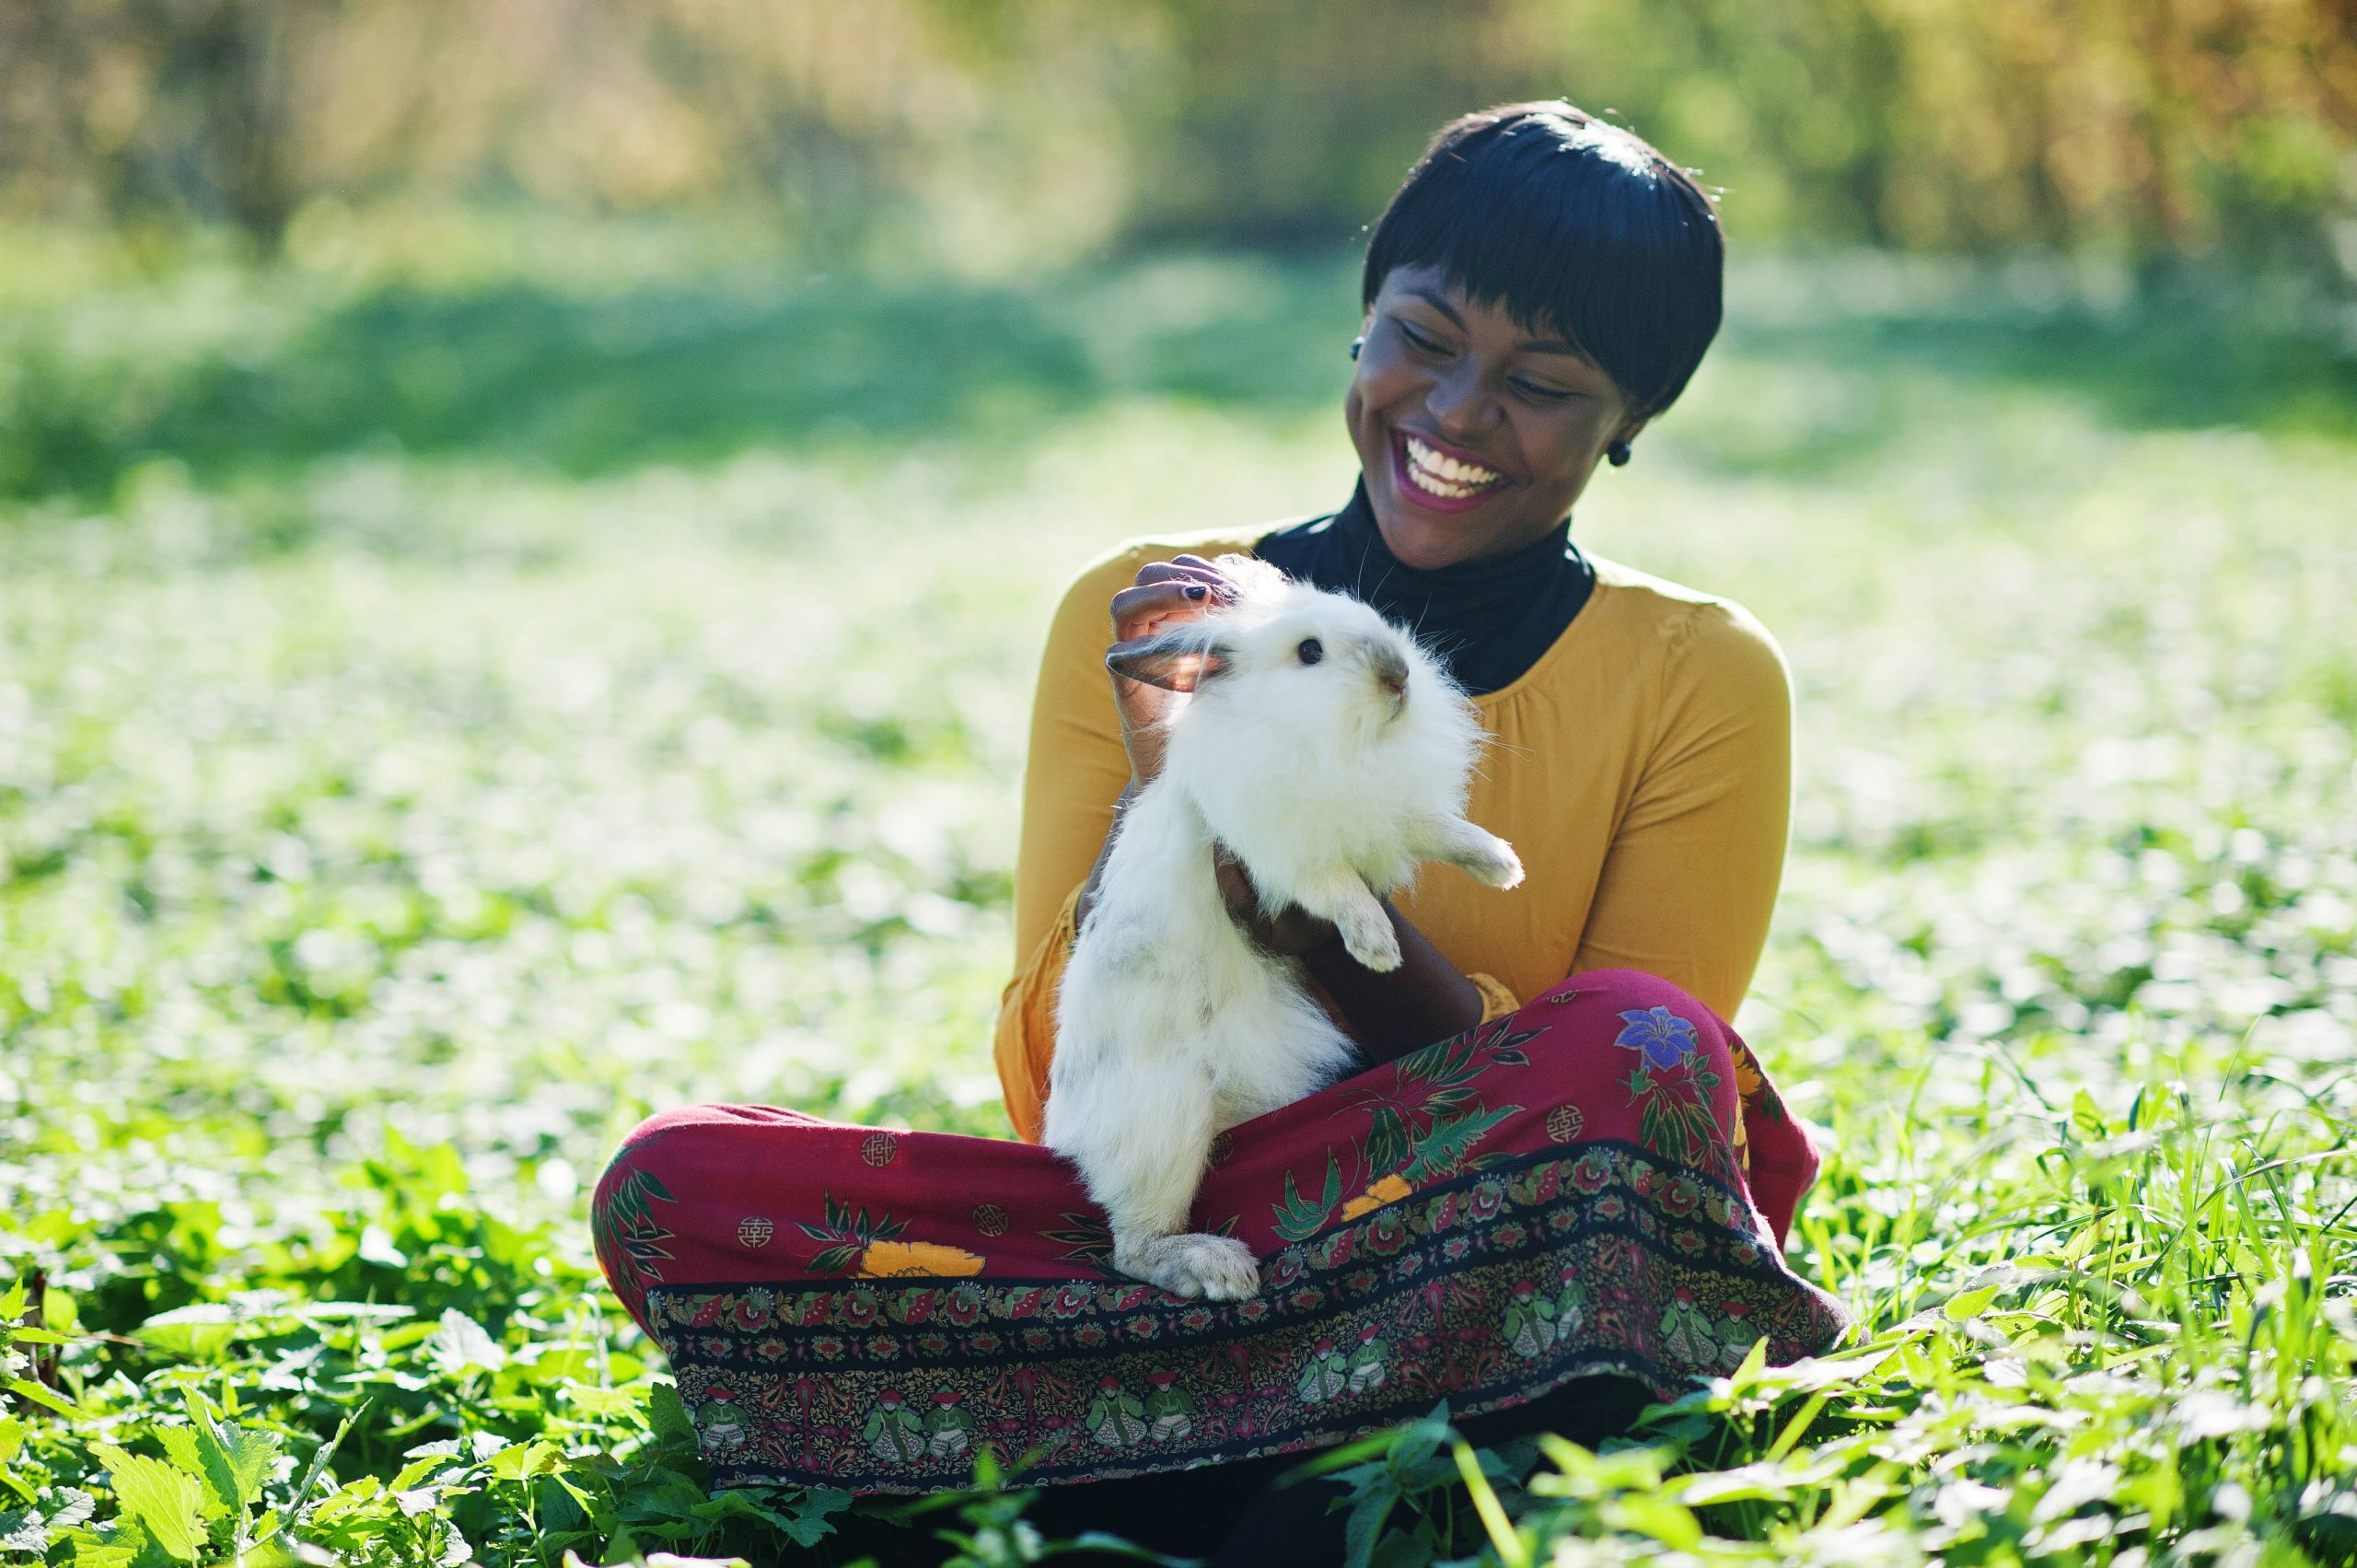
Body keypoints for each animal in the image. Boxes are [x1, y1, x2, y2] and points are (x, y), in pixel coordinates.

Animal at [1041, 556, 1517, 1301]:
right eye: (1309, 652)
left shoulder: (1395, 811)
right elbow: (1339, 888)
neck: (1329, 742)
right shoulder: (1286, 853)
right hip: (1164, 1122)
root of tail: (1069, 1128)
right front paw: (1376, 946)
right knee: (1133, 1248)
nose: (1398, 676)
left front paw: (1502, 865)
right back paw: (1218, 1267)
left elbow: (1447, 831)